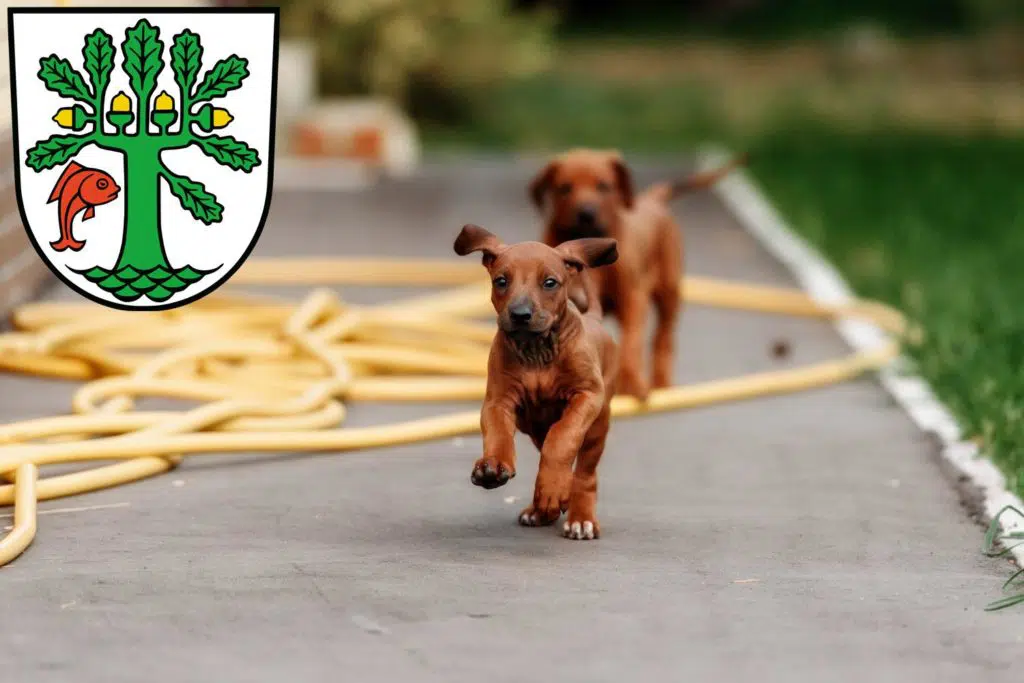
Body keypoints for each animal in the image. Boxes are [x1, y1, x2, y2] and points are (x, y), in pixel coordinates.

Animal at [454, 223, 614, 540]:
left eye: (550, 282)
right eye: (501, 281)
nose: (520, 315)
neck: (537, 352)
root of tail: (594, 319)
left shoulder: (587, 395)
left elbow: (563, 437)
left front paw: (552, 489)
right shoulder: (498, 400)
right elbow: (498, 432)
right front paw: (493, 466)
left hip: (597, 427)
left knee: (585, 473)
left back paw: (580, 516)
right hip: (536, 429)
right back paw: (541, 510)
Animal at [532, 147, 749, 397]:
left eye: (604, 186)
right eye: (565, 188)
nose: (586, 213)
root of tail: (653, 199)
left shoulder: (633, 298)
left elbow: (631, 342)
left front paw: (630, 381)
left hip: (669, 293)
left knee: (663, 338)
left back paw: (661, 382)